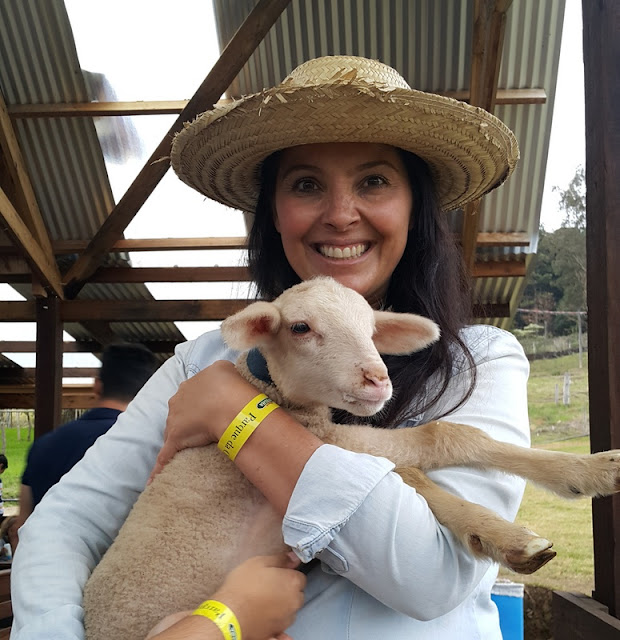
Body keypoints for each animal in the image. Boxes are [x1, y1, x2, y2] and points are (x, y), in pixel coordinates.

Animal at [85, 276, 620, 640]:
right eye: (301, 327)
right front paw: (519, 528)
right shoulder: (327, 441)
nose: (377, 380)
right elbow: (439, 441)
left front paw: (581, 475)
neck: (274, 393)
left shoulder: (331, 439)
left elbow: (420, 463)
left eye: (370, 329)